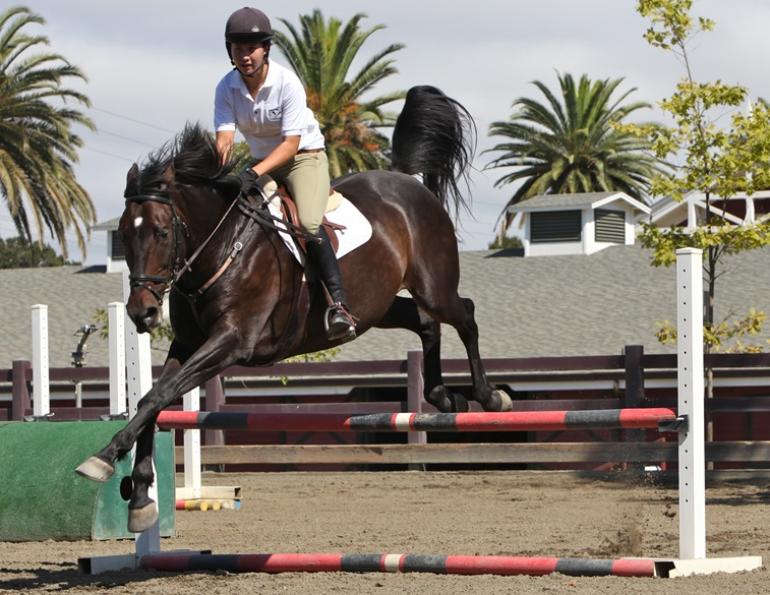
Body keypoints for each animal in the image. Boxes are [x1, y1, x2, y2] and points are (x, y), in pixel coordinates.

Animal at [76, 85, 512, 532]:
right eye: (123, 235)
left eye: (162, 232)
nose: (142, 313)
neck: (221, 246)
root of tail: (407, 181)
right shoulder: (188, 343)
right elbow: (153, 399)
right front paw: (140, 497)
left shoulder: (232, 341)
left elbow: (158, 396)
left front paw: (102, 459)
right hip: (378, 307)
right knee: (427, 324)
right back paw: (445, 397)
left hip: (433, 286)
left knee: (465, 314)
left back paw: (490, 397)